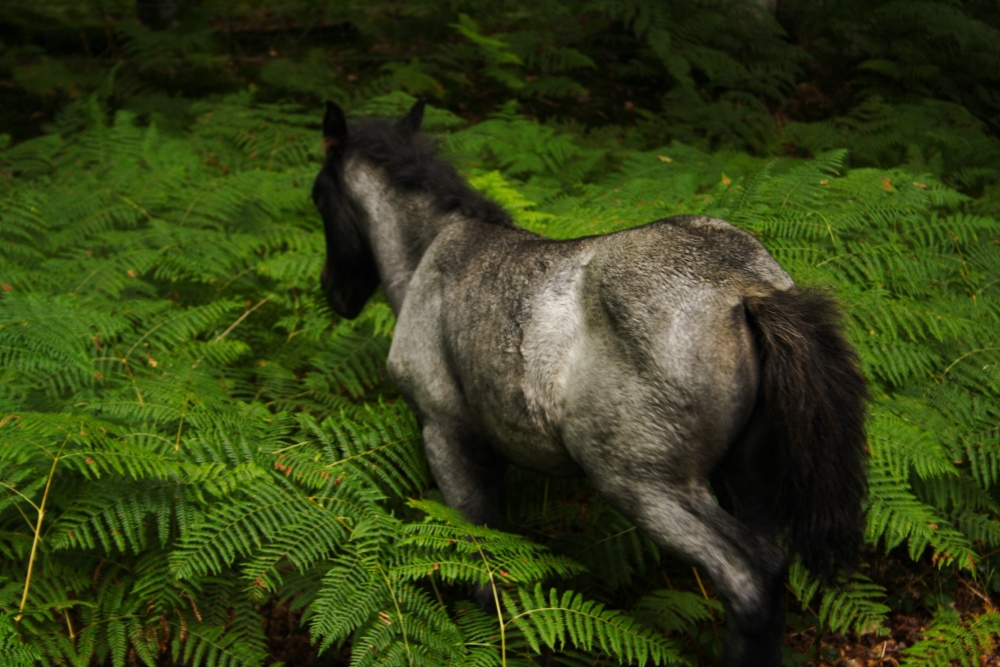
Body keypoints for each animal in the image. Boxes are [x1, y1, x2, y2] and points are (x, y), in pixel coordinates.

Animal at [312, 100, 868, 667]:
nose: (333, 291)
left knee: (751, 579)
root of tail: (746, 289)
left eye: (318, 195)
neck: (434, 256)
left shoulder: (445, 435)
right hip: (747, 480)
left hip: (646, 485)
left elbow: (483, 558)